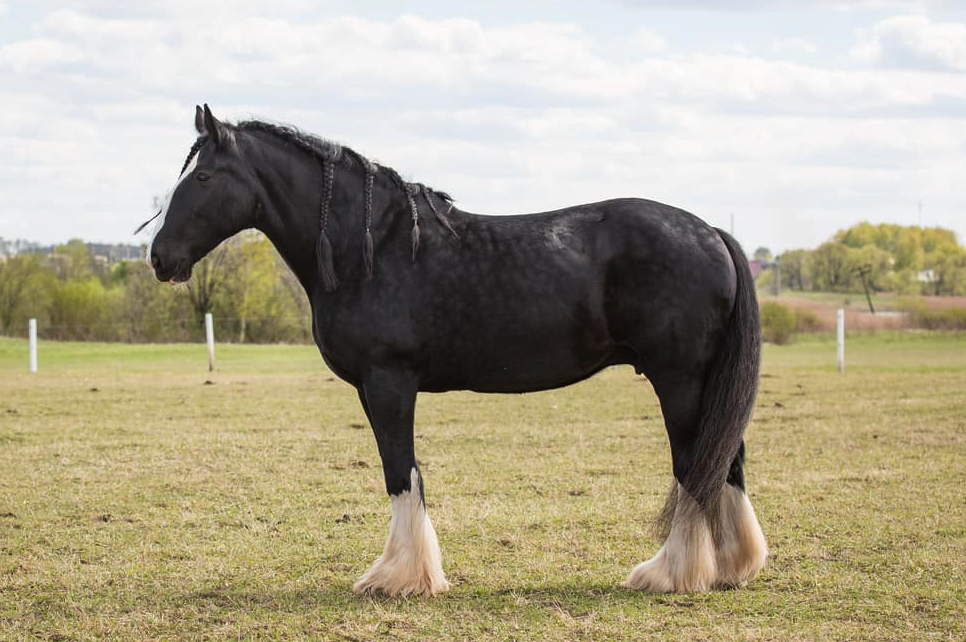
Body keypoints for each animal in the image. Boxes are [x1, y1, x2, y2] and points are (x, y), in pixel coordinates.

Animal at [144, 104, 768, 596]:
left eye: (204, 177)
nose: (159, 257)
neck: (371, 248)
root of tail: (712, 233)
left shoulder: (389, 382)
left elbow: (400, 471)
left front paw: (400, 578)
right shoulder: (375, 388)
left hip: (679, 380)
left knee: (695, 465)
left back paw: (670, 573)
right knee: (725, 459)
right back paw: (731, 567)